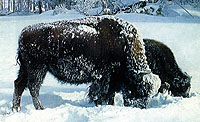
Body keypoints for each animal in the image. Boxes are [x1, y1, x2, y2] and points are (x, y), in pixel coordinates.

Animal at [12, 16, 161, 111]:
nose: (140, 107)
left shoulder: (110, 80)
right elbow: (102, 94)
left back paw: (16, 109)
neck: (124, 43)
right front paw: (100, 104)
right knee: (33, 87)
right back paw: (41, 108)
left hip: (26, 69)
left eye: (150, 95)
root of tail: (24, 33)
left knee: (19, 84)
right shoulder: (104, 78)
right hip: (37, 69)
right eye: (139, 90)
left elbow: (109, 95)